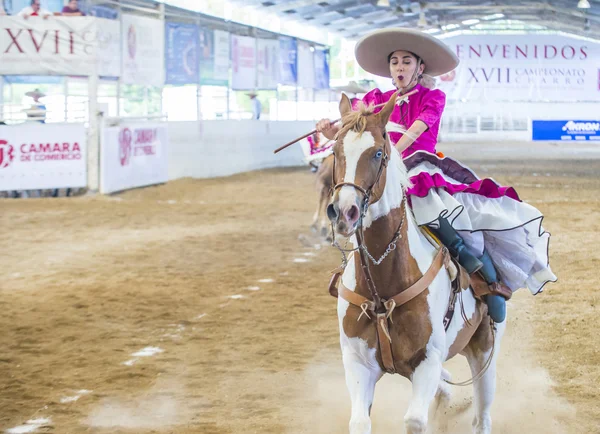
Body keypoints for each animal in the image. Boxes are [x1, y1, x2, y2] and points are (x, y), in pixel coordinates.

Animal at [326, 92, 504, 434]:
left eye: (377, 153)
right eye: (334, 151)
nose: (344, 212)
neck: (382, 288)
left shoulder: (429, 361)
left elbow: (415, 421)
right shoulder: (357, 362)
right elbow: (359, 421)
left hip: (485, 348)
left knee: (482, 416)